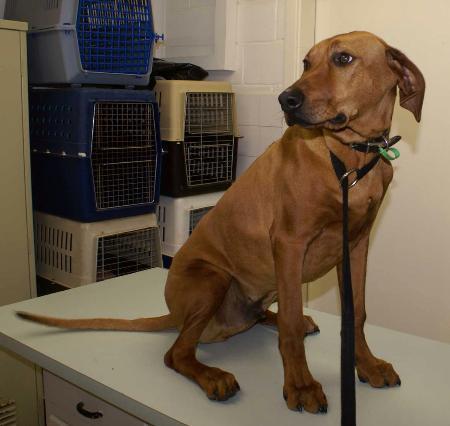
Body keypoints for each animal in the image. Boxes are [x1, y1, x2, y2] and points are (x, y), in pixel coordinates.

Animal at [19, 31, 425, 414]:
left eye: (343, 59)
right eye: (306, 63)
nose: (286, 100)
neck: (349, 159)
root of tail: (173, 314)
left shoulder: (356, 245)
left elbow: (356, 314)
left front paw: (366, 365)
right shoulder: (290, 243)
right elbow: (292, 326)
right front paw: (301, 386)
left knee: (262, 315)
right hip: (212, 279)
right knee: (177, 353)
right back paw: (213, 376)